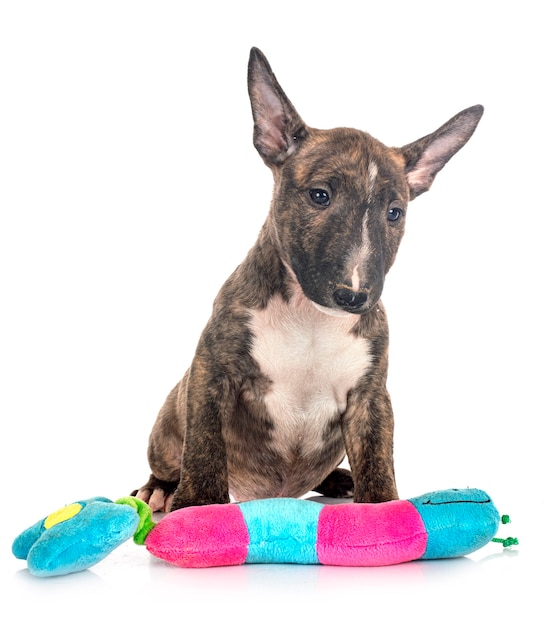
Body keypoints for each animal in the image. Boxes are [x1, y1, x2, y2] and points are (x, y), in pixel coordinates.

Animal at [133, 46, 484, 510]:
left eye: (395, 212)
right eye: (320, 195)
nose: (353, 296)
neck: (311, 318)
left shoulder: (370, 396)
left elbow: (378, 458)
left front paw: (383, 509)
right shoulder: (213, 371)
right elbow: (205, 444)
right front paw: (196, 506)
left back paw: (338, 479)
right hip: (167, 424)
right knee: (169, 459)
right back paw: (159, 488)